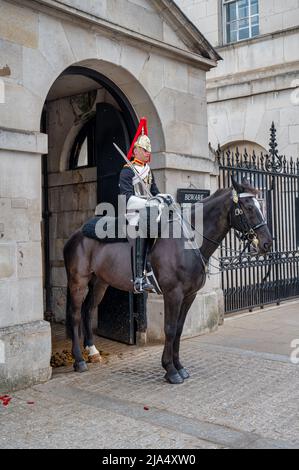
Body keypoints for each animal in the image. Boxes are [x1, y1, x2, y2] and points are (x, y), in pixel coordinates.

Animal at [64, 178, 274, 384]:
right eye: (249, 207)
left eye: (260, 205)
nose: (267, 243)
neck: (188, 241)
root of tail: (77, 233)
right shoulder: (173, 294)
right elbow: (170, 329)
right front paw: (170, 370)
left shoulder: (189, 295)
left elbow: (179, 329)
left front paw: (179, 366)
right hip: (78, 282)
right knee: (75, 315)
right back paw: (79, 360)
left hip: (100, 283)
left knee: (88, 310)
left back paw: (93, 351)